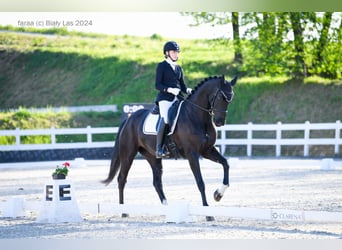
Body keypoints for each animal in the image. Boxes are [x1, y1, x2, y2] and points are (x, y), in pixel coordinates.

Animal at [102, 74, 238, 221]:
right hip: (128, 154)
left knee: (157, 182)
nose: (219, 122)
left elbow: (226, 164)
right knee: (122, 179)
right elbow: (200, 182)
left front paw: (218, 194)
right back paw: (123, 211)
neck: (196, 116)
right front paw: (208, 213)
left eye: (230, 99)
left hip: (153, 157)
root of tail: (128, 120)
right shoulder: (192, 154)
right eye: (219, 98)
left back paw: (166, 208)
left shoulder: (207, 150)